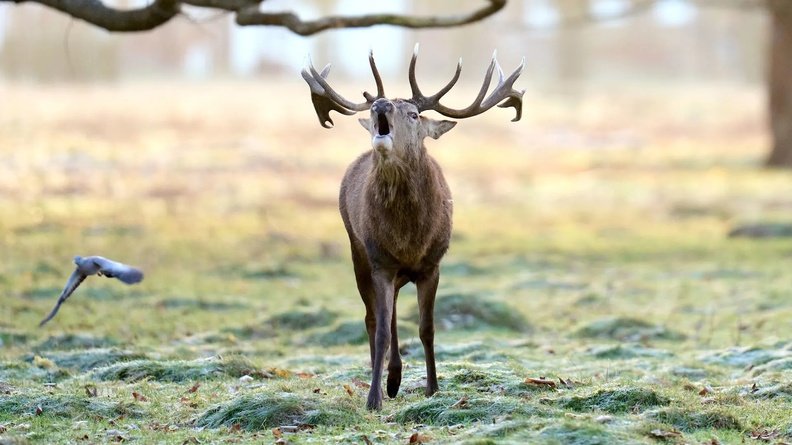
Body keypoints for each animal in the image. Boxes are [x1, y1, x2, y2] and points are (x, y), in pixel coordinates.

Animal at [301, 44, 524, 410]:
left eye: (414, 114)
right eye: (378, 106)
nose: (379, 105)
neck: (409, 237)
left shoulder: (433, 263)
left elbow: (427, 328)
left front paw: (433, 388)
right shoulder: (380, 261)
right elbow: (380, 330)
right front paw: (373, 398)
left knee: (392, 315)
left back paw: (395, 379)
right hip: (358, 252)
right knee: (374, 320)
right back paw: (387, 382)